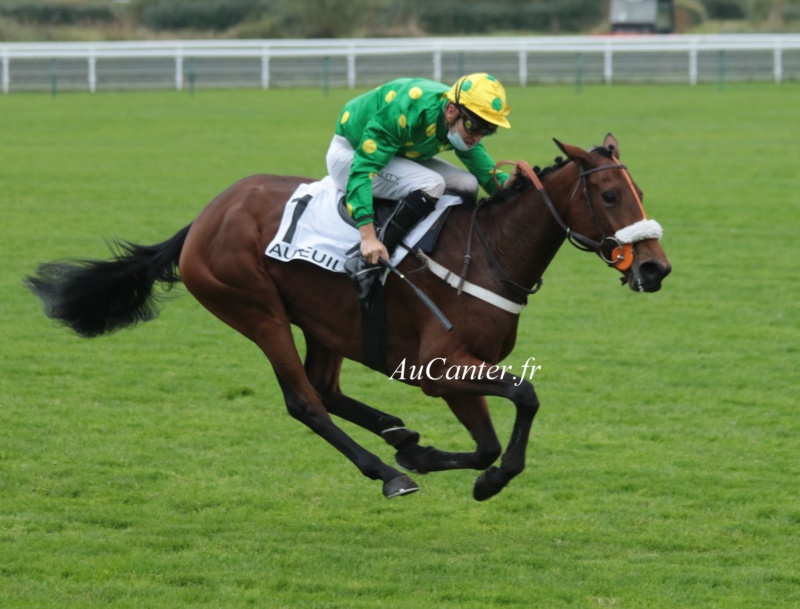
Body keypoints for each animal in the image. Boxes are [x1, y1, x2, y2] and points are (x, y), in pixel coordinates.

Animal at [25, 135, 672, 502]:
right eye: (609, 196)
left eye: (640, 188)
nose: (656, 268)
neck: (490, 250)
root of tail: (206, 216)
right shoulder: (440, 366)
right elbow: (525, 399)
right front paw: (472, 477)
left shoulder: (457, 371)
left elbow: (489, 439)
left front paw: (434, 456)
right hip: (256, 310)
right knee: (305, 401)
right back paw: (387, 471)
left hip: (325, 322)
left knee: (328, 388)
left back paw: (398, 436)